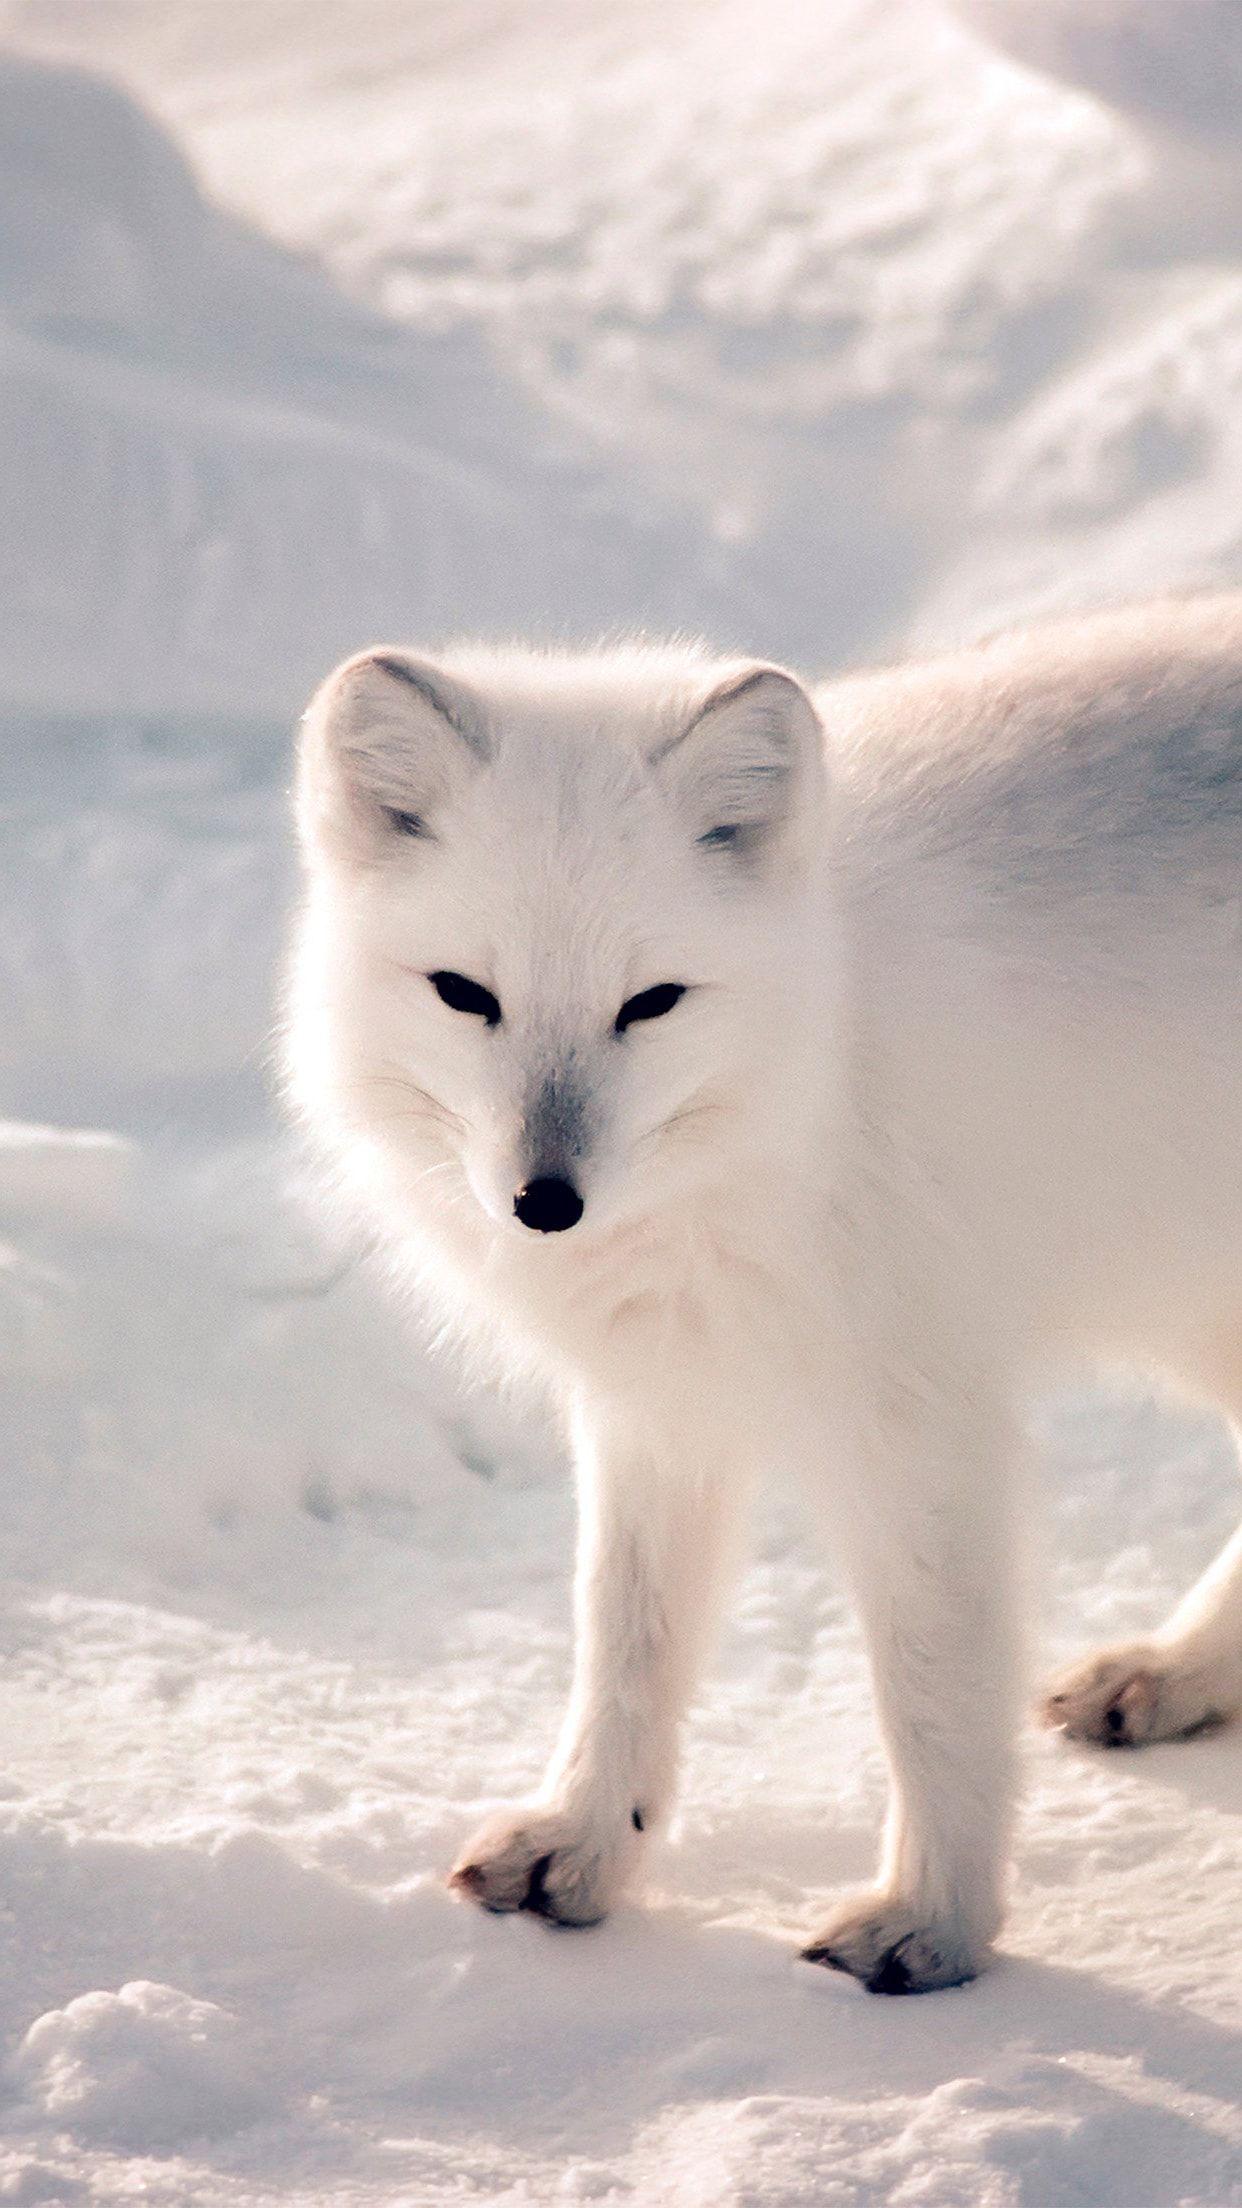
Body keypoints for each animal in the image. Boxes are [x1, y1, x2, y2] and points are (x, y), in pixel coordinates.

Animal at [286, 594, 1242, 1994]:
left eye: (652, 1003)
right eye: (466, 995)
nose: (544, 1203)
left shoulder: (918, 1423)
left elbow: (932, 1687)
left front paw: (934, 1925)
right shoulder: (659, 1401)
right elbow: (624, 1640)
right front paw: (587, 1846)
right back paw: (1177, 1673)